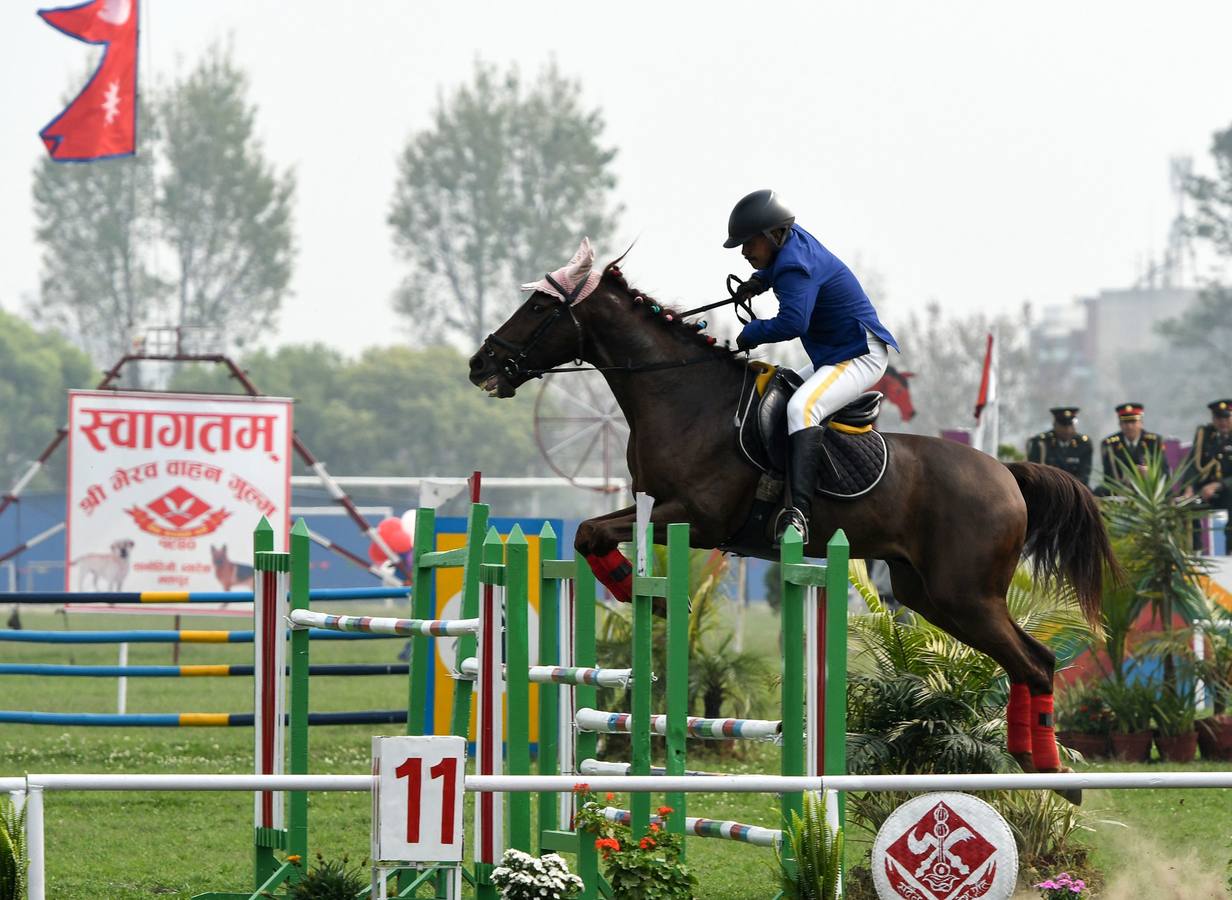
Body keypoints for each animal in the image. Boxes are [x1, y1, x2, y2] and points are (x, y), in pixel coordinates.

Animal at [468, 248, 1118, 797]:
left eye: (540, 307)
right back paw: (1032, 760)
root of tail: (1007, 474)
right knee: (1028, 661)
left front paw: (647, 596)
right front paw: (637, 591)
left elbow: (598, 532)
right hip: (929, 594)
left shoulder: (699, 519)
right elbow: (588, 532)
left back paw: (1053, 772)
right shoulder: (657, 508)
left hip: (966, 595)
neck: (681, 394)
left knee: (1034, 662)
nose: (480, 364)